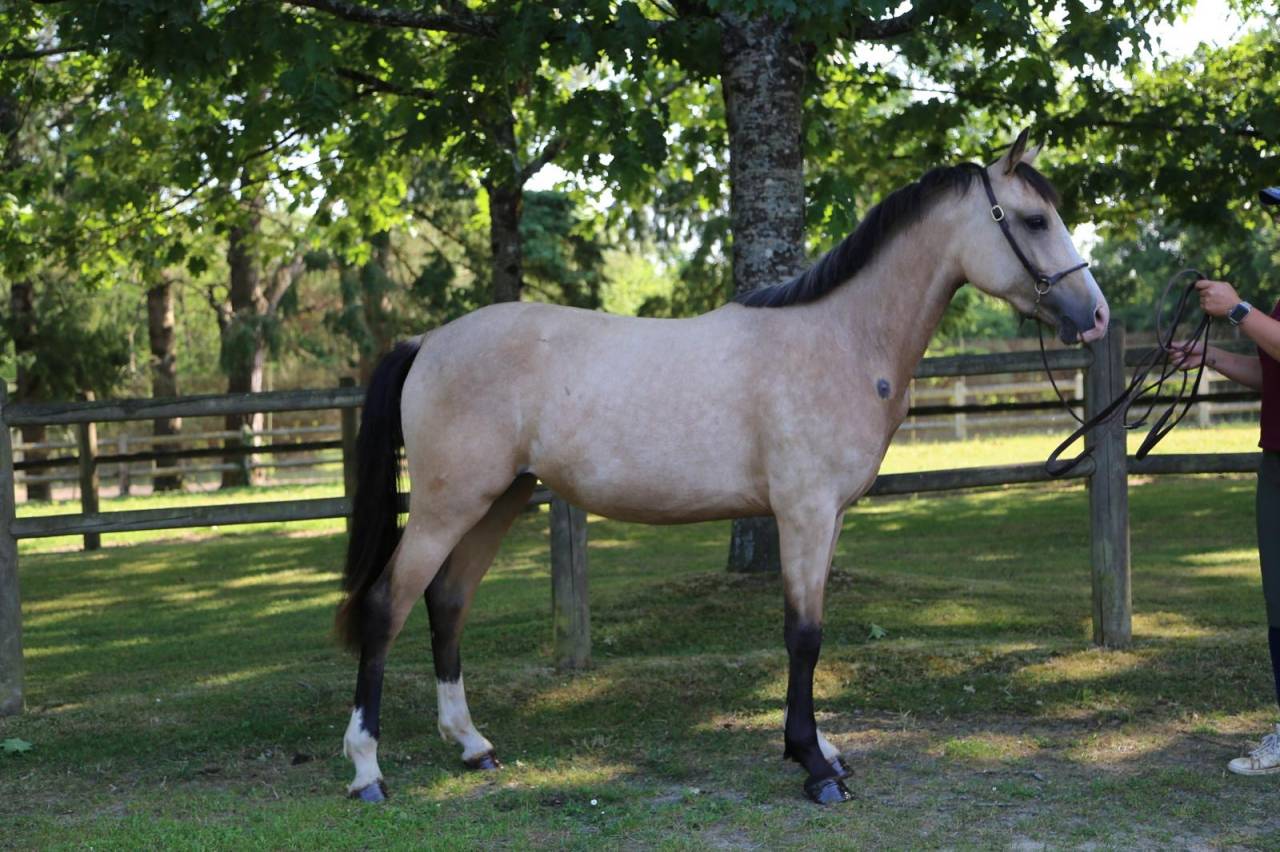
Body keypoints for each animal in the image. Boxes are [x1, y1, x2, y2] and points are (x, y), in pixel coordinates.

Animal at [335, 130, 1109, 805]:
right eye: (1035, 219)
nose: (1097, 316)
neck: (840, 339)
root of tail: (428, 340)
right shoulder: (803, 514)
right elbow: (804, 637)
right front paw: (813, 767)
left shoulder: (827, 520)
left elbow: (812, 632)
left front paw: (821, 752)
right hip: (447, 506)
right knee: (386, 608)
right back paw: (368, 770)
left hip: (498, 500)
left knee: (446, 603)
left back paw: (472, 745)